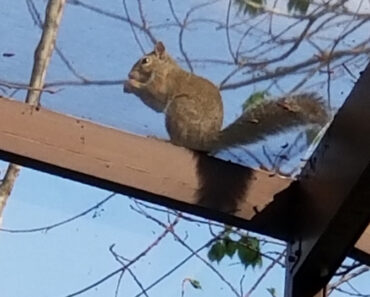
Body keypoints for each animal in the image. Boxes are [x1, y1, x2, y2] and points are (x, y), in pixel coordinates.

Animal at [123, 41, 328, 151]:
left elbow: (156, 99)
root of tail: (206, 141)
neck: (165, 68)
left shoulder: (164, 83)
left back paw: (165, 140)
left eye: (145, 60)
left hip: (180, 108)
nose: (130, 74)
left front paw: (131, 84)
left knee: (180, 143)